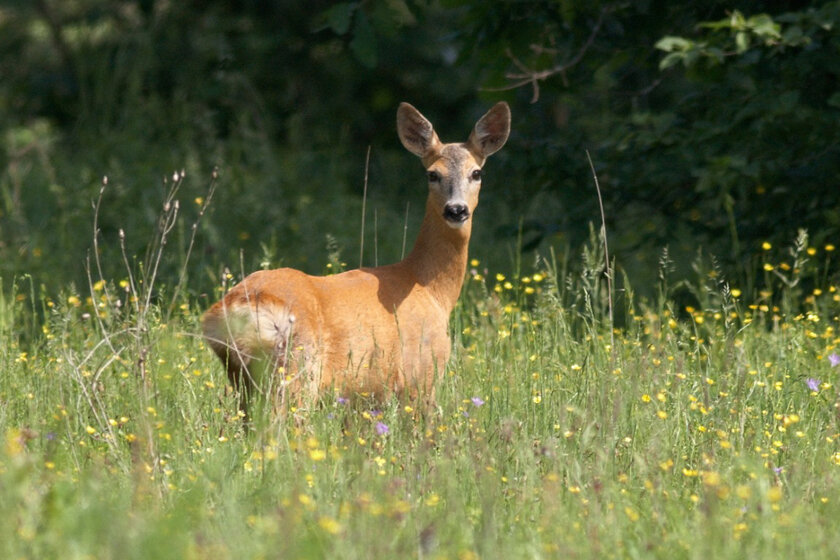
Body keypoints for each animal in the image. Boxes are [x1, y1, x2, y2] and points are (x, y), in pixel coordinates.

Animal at [202, 101, 512, 416]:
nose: (456, 210)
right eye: (432, 174)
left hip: (244, 378)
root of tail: (237, 307)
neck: (430, 288)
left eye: (476, 173)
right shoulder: (422, 374)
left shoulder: (363, 398)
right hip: (296, 371)